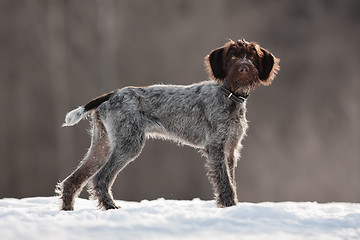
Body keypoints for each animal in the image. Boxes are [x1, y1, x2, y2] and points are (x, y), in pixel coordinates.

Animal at [57, 39, 280, 210]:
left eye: (251, 56)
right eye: (233, 57)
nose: (244, 68)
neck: (229, 96)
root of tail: (112, 94)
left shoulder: (231, 149)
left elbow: (231, 180)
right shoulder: (216, 146)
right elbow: (225, 182)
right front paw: (229, 207)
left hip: (102, 146)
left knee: (72, 180)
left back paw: (68, 211)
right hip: (128, 144)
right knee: (100, 178)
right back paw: (110, 207)